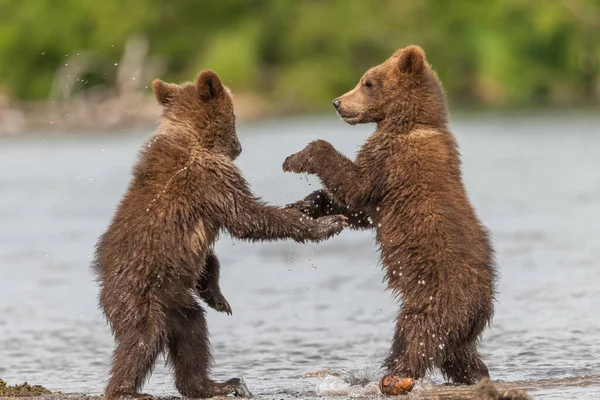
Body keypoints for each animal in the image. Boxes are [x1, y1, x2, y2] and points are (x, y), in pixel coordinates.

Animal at [94, 69, 346, 400]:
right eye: (236, 114)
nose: (239, 146)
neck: (196, 140)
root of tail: (103, 286)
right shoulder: (211, 178)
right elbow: (247, 217)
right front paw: (327, 223)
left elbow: (211, 255)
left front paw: (216, 295)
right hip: (140, 293)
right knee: (142, 337)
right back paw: (125, 389)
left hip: (176, 301)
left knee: (192, 333)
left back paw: (216, 383)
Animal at [284, 45, 496, 386]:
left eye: (368, 82)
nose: (337, 102)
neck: (407, 124)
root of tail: (481, 306)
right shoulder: (385, 183)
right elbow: (358, 208)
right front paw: (306, 206)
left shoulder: (392, 162)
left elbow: (356, 186)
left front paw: (297, 157)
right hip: (461, 329)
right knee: (458, 354)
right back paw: (477, 375)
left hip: (435, 298)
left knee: (417, 334)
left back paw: (396, 375)